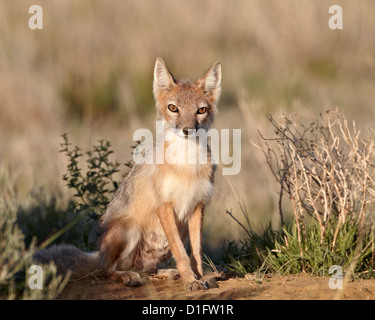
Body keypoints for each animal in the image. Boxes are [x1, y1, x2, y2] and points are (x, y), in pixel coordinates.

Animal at [35, 57, 220, 290]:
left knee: (146, 269)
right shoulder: (165, 206)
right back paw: (128, 277)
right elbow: (181, 253)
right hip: (129, 231)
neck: (187, 165)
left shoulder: (197, 207)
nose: (187, 130)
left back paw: (167, 273)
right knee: (107, 271)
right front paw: (191, 280)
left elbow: (196, 252)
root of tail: (99, 254)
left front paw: (199, 277)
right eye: (173, 108)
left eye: (201, 110)